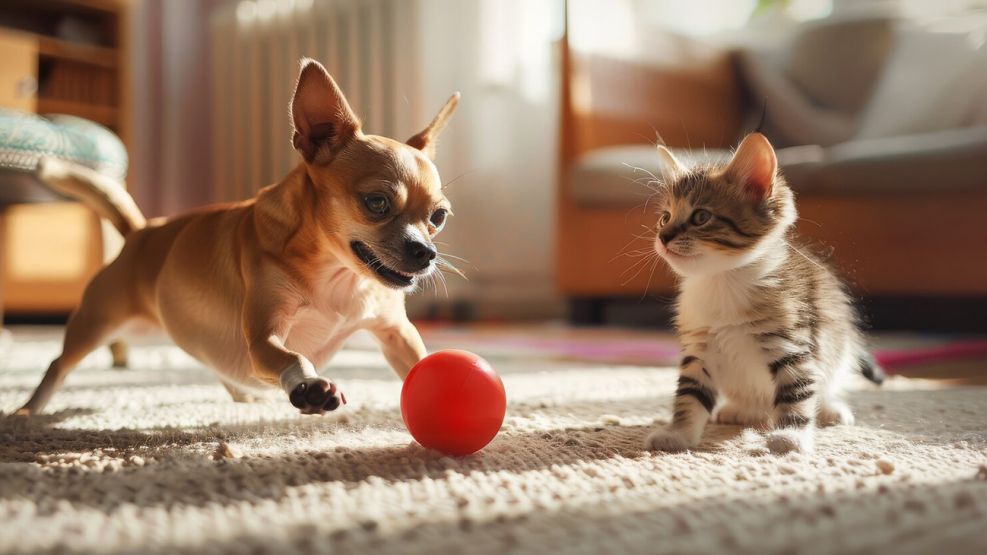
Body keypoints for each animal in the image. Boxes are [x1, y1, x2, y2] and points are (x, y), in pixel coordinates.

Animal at [15, 59, 462, 416]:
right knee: (59, 363)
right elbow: (291, 356)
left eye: (438, 217)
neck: (339, 277)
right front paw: (309, 387)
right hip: (98, 323)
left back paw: (243, 394)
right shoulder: (264, 338)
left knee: (217, 362)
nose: (426, 253)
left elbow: (418, 360)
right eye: (376, 203)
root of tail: (140, 232)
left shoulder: (395, 333)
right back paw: (29, 409)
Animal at [648, 132, 880, 454]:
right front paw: (678, 435)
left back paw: (830, 409)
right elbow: (690, 396)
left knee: (823, 386)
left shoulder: (791, 345)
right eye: (664, 217)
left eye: (700, 217)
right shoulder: (699, 349)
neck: (721, 280)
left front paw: (790, 436)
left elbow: (796, 392)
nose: (662, 236)